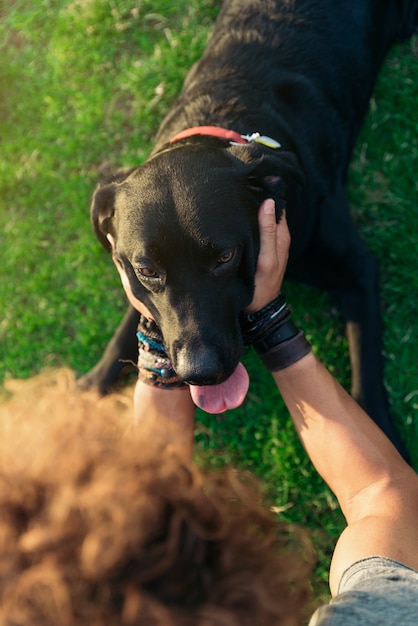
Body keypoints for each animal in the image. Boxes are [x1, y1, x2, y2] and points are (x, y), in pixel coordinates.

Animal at [81, 0, 414, 450]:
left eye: (225, 256)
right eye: (146, 270)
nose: (200, 372)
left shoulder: (356, 271)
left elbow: (367, 366)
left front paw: (383, 436)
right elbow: (132, 318)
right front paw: (95, 380)